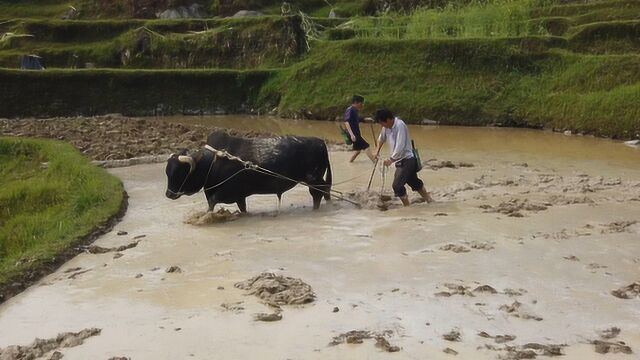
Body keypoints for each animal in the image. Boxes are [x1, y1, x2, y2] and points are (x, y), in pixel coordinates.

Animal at [166, 131, 330, 211]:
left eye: (180, 172)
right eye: (168, 172)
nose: (169, 194)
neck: (212, 163)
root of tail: (321, 142)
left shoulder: (226, 192)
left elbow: (211, 205)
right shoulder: (239, 197)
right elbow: (242, 209)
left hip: (314, 180)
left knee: (318, 194)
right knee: (326, 190)